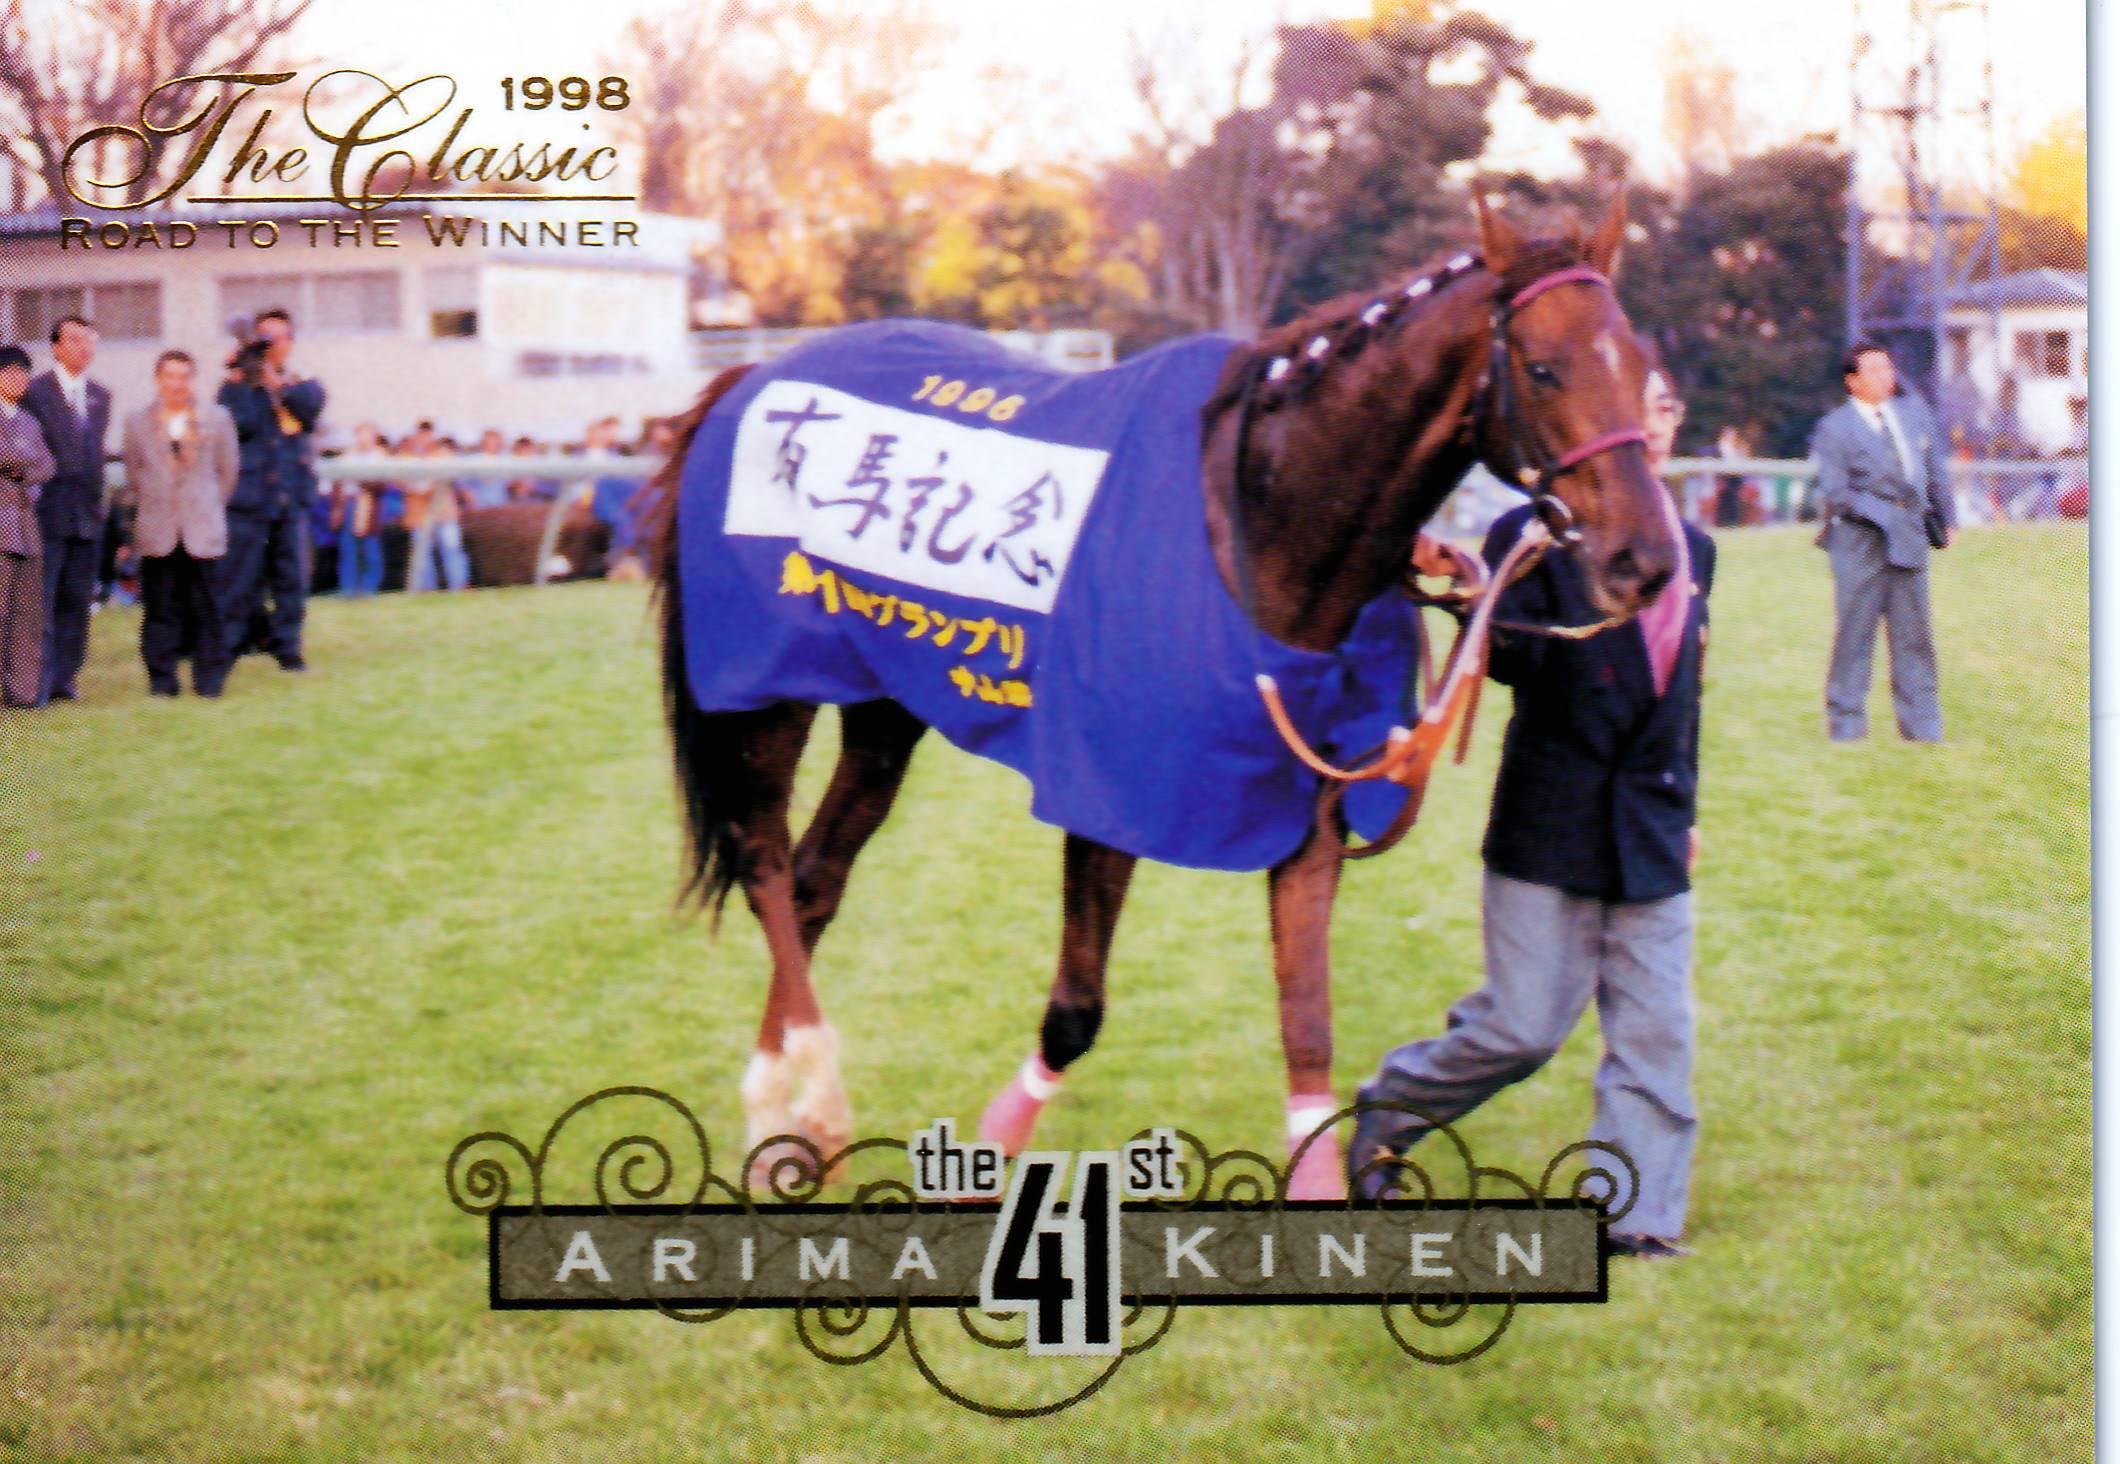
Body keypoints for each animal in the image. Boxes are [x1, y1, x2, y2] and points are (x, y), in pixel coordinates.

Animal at [642, 195, 1678, 1202]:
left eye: (1639, 366)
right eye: (1542, 369)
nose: (1646, 562)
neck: (1258, 524)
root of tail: (749, 378)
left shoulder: (1310, 803)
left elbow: (1308, 1026)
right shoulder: (1108, 791)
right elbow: (1075, 1012)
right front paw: (987, 1159)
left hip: (885, 698)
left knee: (816, 876)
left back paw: (784, 1128)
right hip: (764, 685)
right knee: (765, 859)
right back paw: (796, 1097)